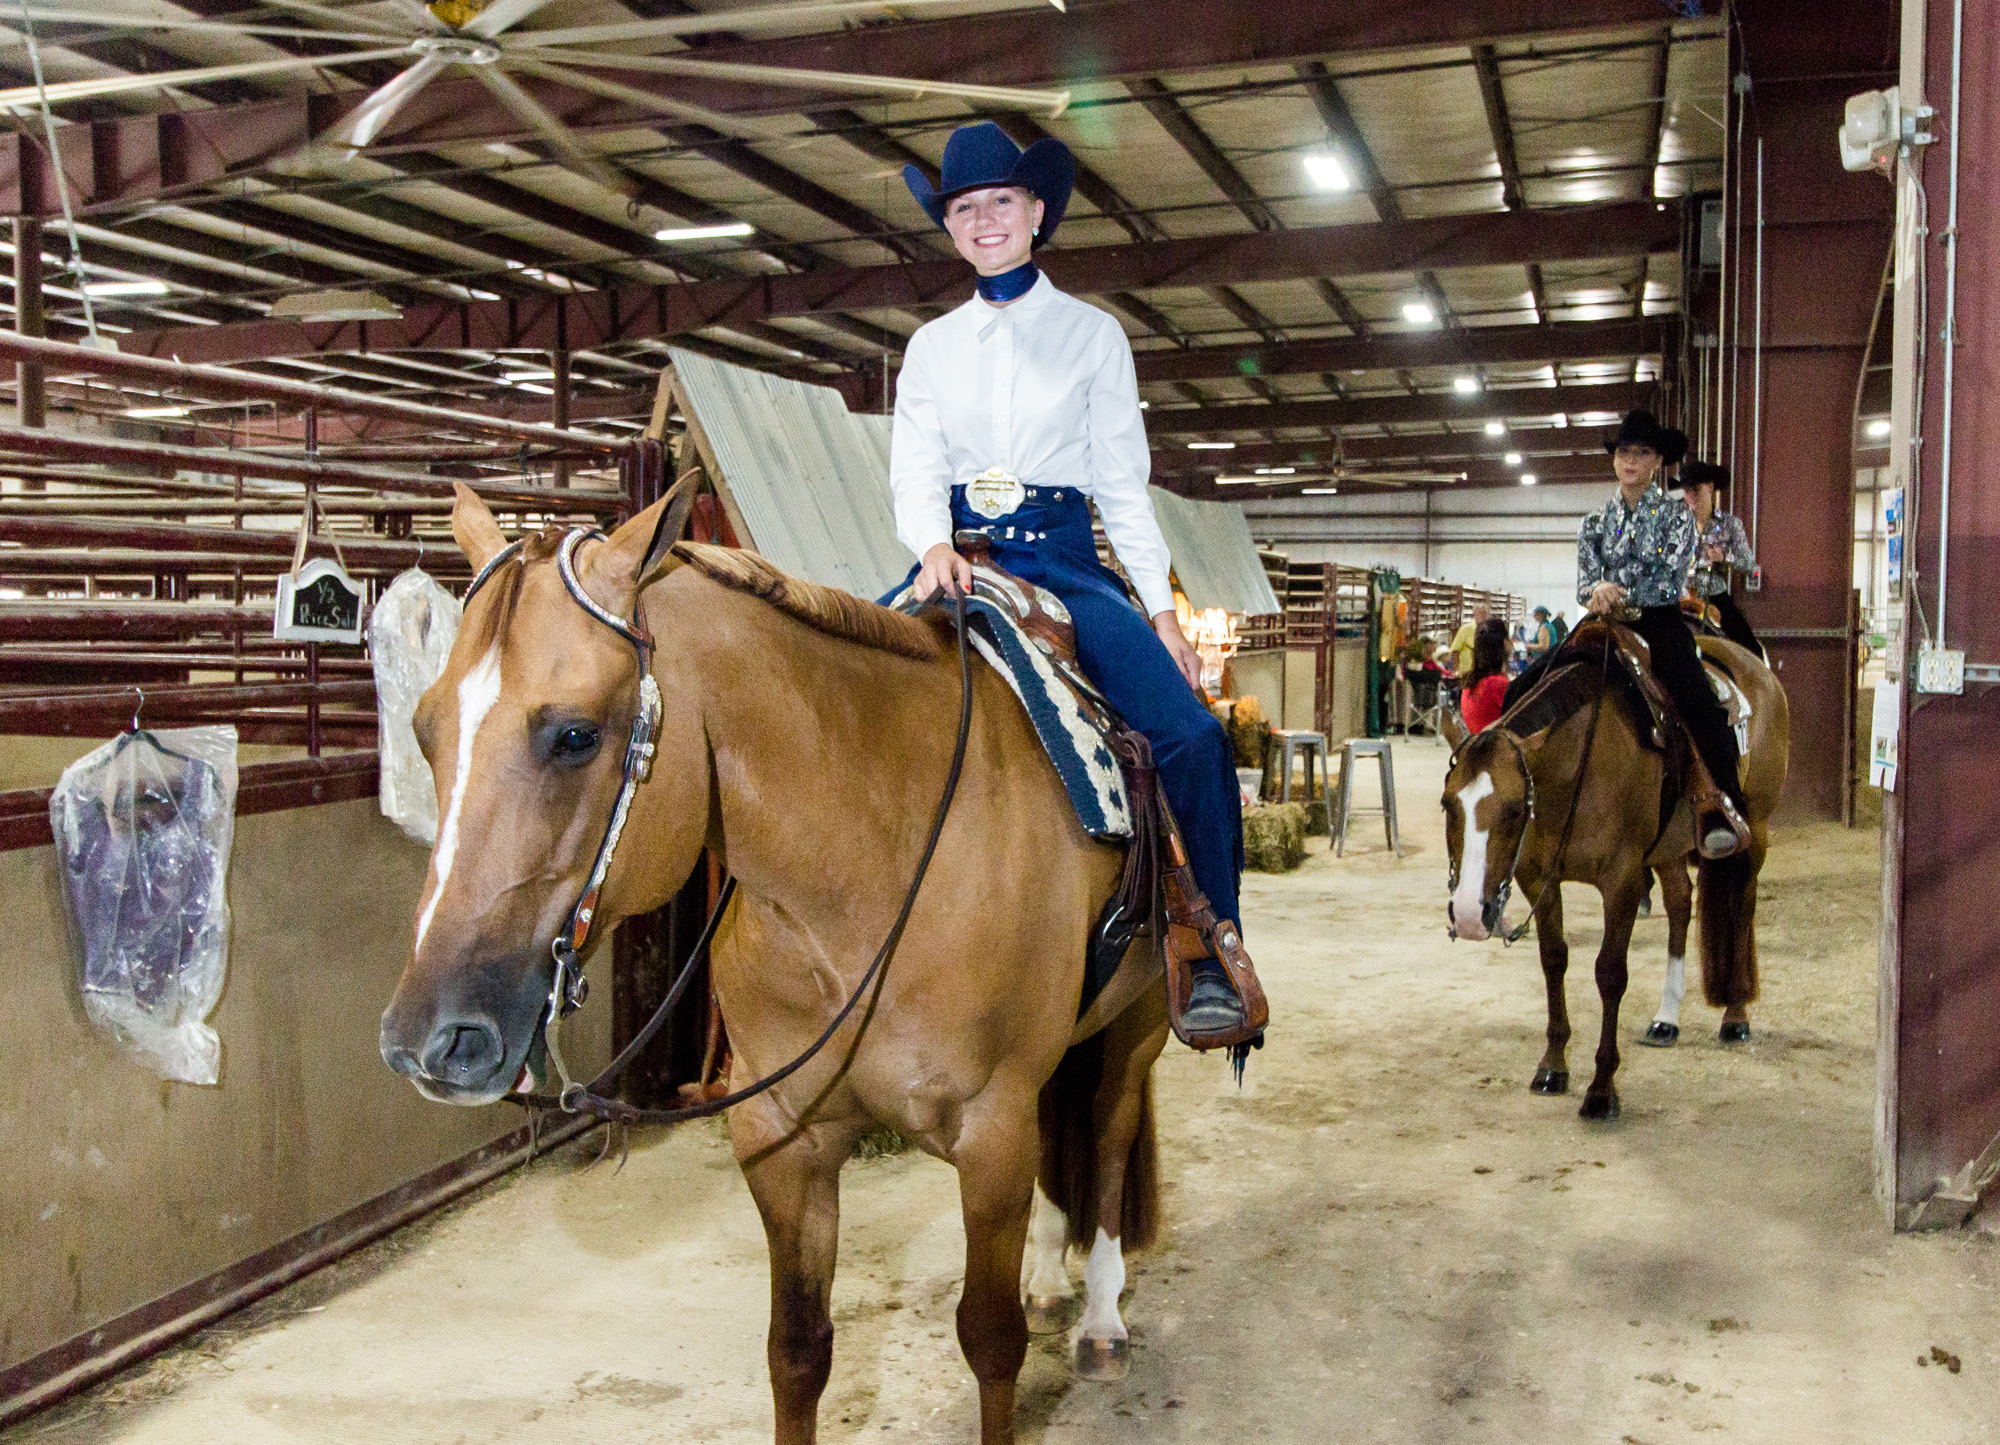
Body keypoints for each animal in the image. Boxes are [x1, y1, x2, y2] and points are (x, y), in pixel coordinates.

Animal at [376, 486, 1168, 1440]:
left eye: (574, 735)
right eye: (425, 730)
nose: (429, 1038)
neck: (868, 867)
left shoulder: (991, 1136)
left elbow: (989, 1339)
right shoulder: (782, 1137)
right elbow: (797, 1350)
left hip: (1139, 1023)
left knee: (1112, 1132)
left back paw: (1101, 1317)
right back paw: (1052, 1277)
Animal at [1448, 620, 1792, 1112]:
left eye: (1515, 810)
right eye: (1447, 805)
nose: (1470, 916)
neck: (1577, 764)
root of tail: (1754, 664)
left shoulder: (1622, 881)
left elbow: (1610, 973)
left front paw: (1601, 1089)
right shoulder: (1538, 878)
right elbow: (1554, 961)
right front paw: (1552, 1066)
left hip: (1755, 832)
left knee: (1741, 913)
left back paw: (1735, 1015)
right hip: (1668, 850)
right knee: (1681, 905)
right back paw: (1666, 1018)